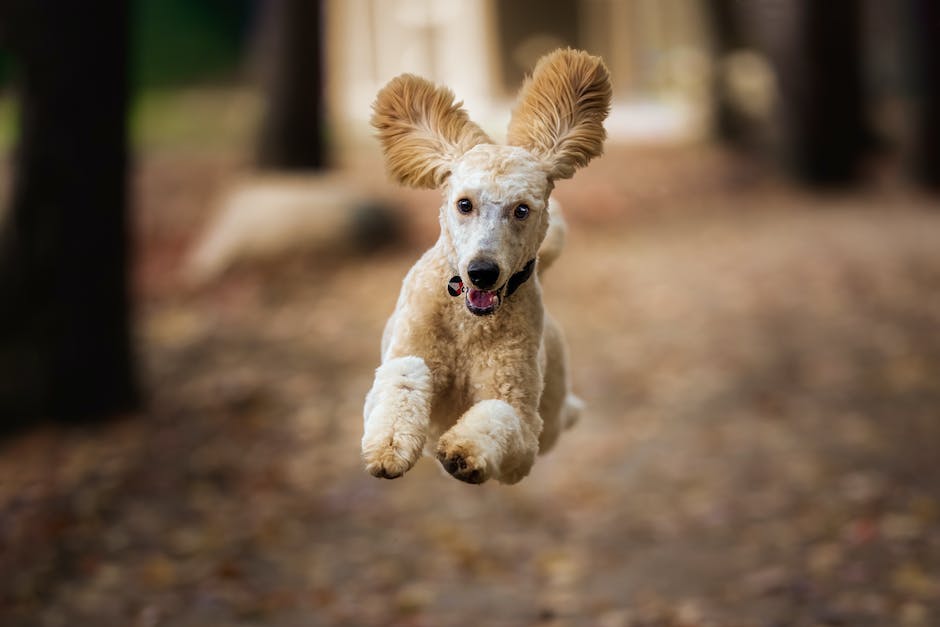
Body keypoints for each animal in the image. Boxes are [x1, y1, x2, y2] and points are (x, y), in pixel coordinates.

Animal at [360, 49, 608, 486]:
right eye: (464, 204)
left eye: (522, 209)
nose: (482, 272)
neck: (469, 326)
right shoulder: (396, 365)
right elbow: (404, 374)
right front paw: (390, 449)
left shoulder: (523, 437)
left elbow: (500, 414)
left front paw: (462, 452)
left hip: (552, 414)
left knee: (559, 417)